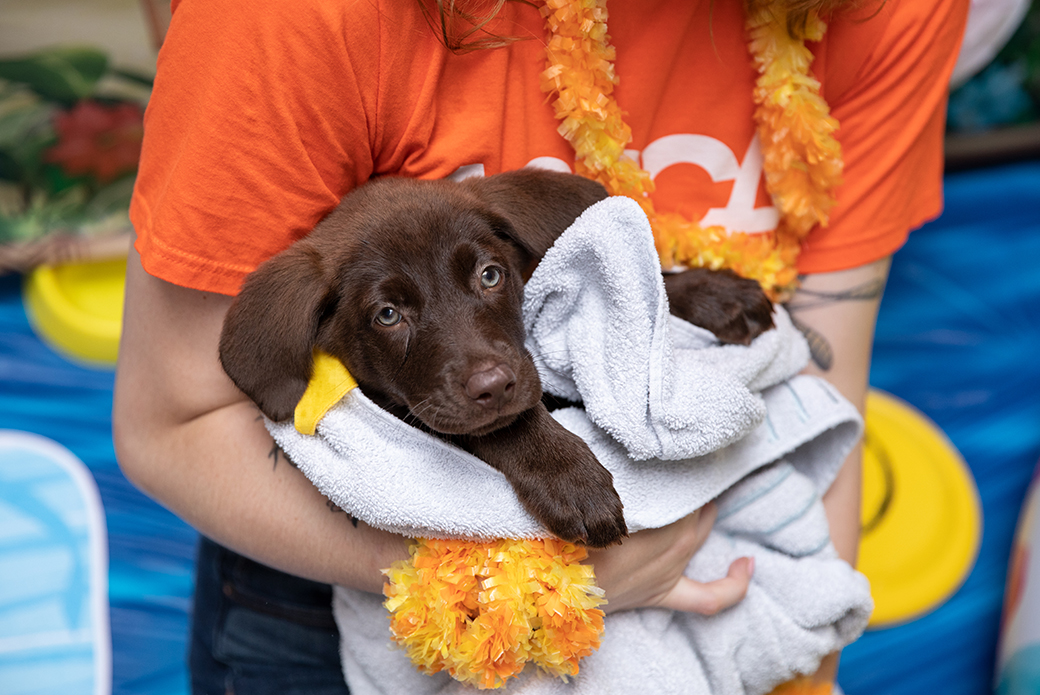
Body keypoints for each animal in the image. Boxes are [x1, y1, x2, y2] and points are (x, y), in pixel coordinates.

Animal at [219, 169, 773, 549]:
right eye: (388, 315)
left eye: (490, 275)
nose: (494, 385)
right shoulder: (420, 411)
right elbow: (499, 427)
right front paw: (569, 475)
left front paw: (714, 293)